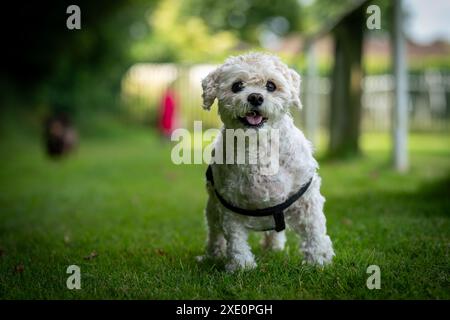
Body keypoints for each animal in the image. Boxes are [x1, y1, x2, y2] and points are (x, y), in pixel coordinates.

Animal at [199, 52, 332, 270]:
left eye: (271, 85)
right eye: (237, 86)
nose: (255, 97)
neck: (259, 147)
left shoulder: (306, 199)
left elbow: (314, 230)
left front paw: (318, 260)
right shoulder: (229, 206)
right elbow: (235, 239)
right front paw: (241, 265)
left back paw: (273, 248)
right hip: (212, 208)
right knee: (214, 232)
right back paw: (213, 254)